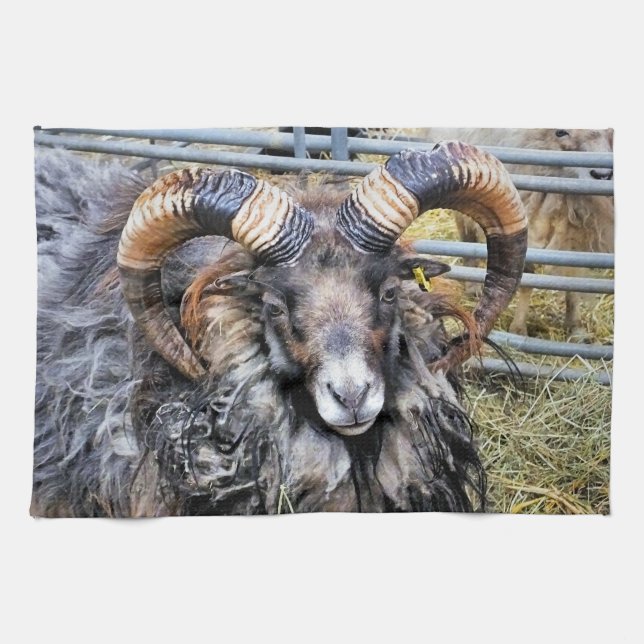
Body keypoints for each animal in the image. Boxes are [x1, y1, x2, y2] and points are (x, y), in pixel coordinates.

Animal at [416, 128, 613, 340]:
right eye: (560, 133)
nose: (603, 175)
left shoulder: (578, 231)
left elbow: (574, 279)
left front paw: (575, 327)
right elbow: (527, 279)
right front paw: (518, 328)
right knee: (467, 236)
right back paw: (472, 286)